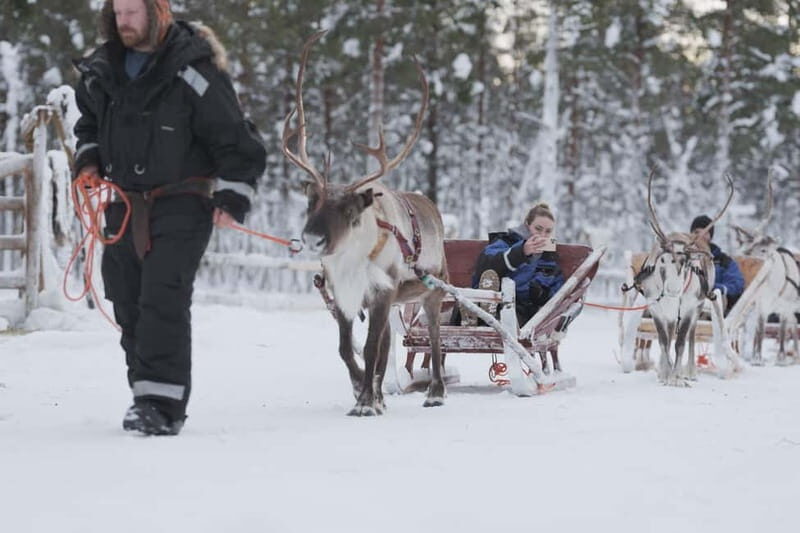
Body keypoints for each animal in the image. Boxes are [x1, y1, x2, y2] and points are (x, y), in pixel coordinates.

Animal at [282, 31, 448, 416]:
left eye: (349, 209)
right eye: (312, 201)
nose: (312, 238)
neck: (351, 261)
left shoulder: (382, 291)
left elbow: (372, 347)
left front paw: (365, 403)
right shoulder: (343, 293)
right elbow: (348, 348)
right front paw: (362, 388)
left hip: (433, 289)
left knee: (434, 338)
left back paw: (435, 392)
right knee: (387, 343)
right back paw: (381, 393)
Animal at [627, 171, 737, 386]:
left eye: (686, 263)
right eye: (662, 260)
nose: (673, 289)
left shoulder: (688, 308)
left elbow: (680, 342)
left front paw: (676, 378)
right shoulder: (655, 308)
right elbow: (663, 341)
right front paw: (665, 374)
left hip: (698, 306)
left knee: (690, 337)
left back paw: (690, 372)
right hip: (670, 313)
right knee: (669, 335)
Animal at [732, 173, 800, 366]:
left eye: (763, 250)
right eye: (745, 247)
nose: (745, 259)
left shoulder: (782, 307)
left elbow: (778, 330)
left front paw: (778, 358)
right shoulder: (757, 304)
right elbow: (757, 331)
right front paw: (754, 357)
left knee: (790, 327)